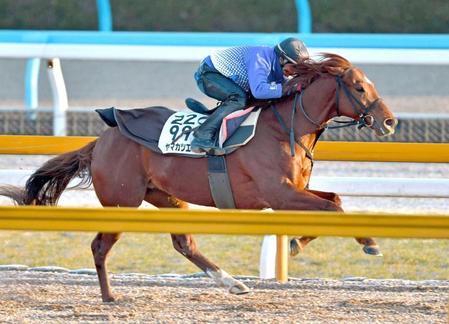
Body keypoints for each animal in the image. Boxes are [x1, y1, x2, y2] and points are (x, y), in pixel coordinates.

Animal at [0, 53, 396, 302]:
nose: (390, 122)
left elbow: (334, 202)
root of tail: (100, 142)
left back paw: (232, 283)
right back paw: (110, 296)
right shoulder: (279, 193)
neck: (286, 127)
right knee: (100, 246)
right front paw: (369, 241)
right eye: (359, 88)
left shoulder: (294, 192)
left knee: (184, 243)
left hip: (166, 197)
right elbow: (333, 210)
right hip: (123, 201)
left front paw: (297, 243)